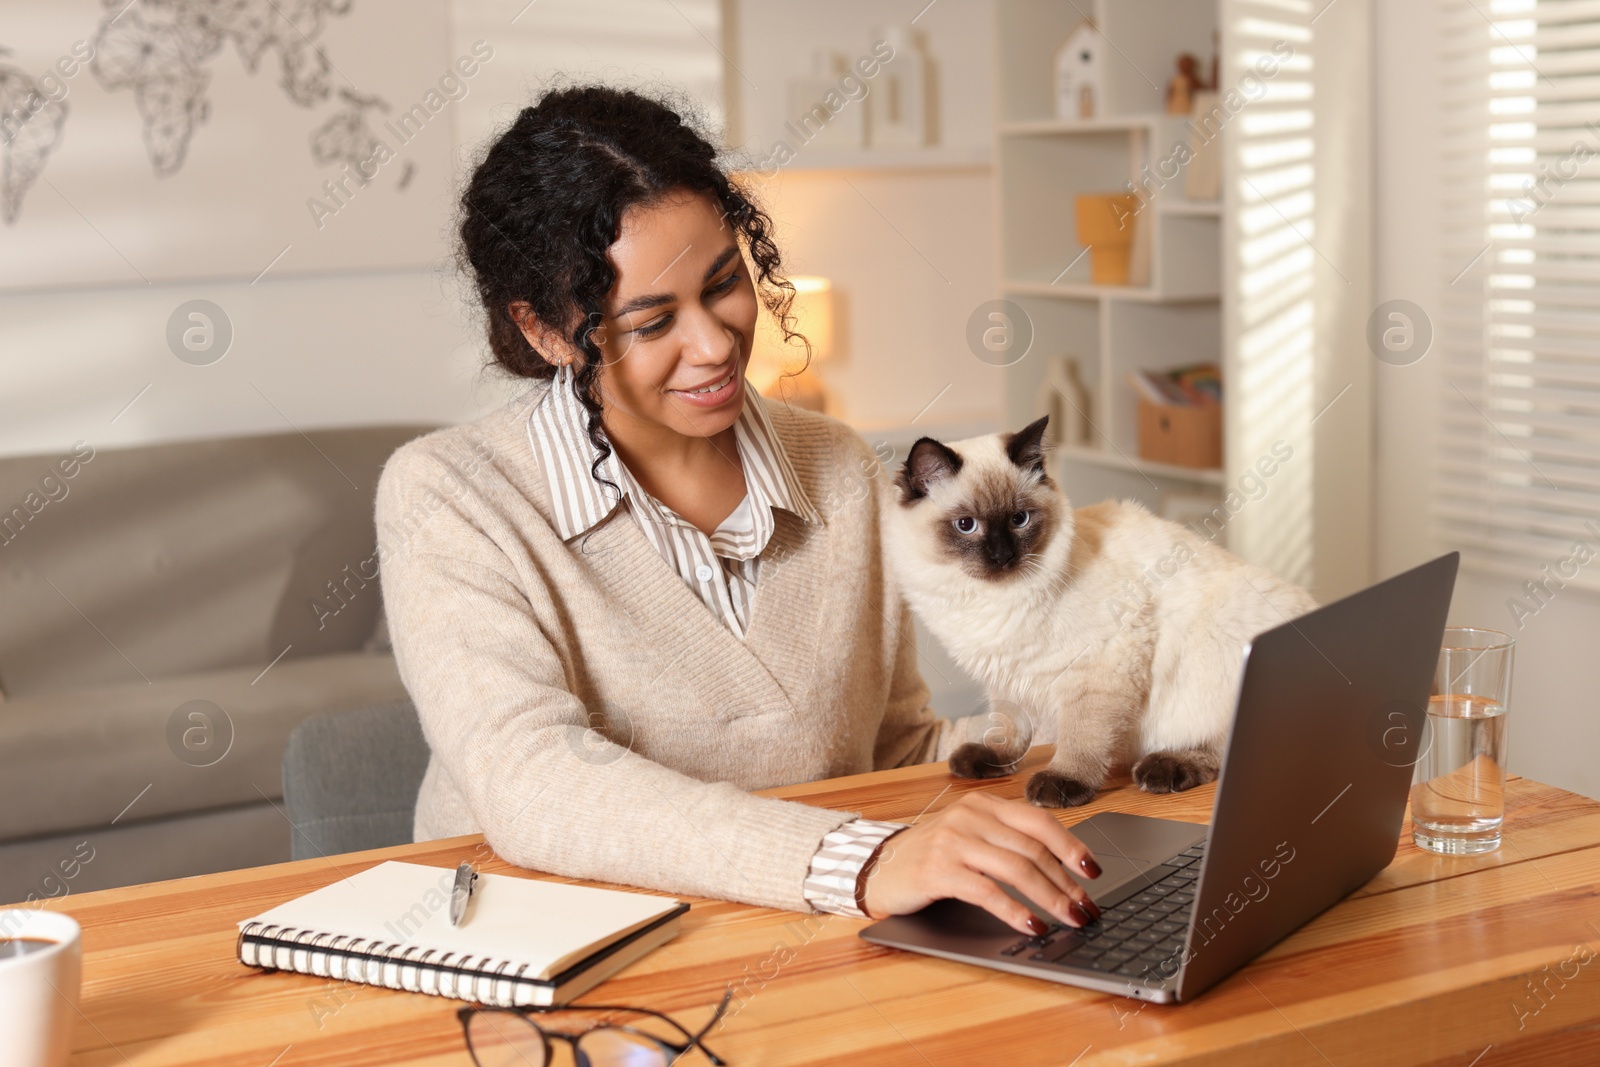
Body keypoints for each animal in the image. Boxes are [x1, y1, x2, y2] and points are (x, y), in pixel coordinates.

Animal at [889, 415, 1312, 809]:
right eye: (966, 525)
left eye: (1019, 519)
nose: (1003, 556)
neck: (987, 599)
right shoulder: (1008, 673)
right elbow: (1010, 726)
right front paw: (994, 759)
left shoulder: (1100, 665)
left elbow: (1083, 737)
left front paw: (1063, 783)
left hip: (1222, 638)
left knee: (1222, 746)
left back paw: (1164, 769)